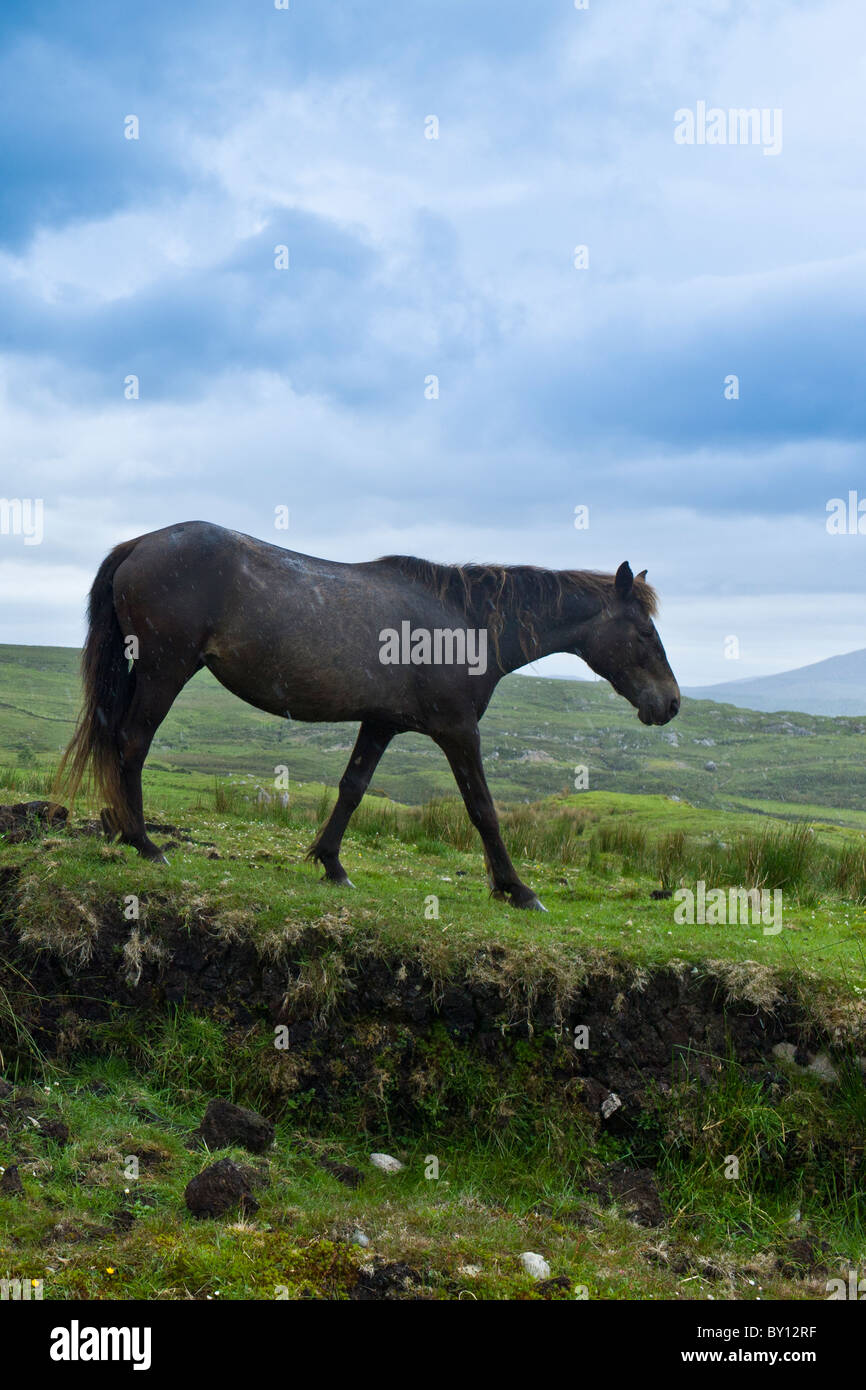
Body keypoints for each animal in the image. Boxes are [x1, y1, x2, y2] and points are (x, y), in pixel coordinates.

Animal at [57, 522, 681, 911]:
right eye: (644, 633)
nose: (671, 703)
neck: (466, 622)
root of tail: (139, 544)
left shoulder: (381, 723)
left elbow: (352, 789)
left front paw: (331, 864)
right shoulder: (458, 730)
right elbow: (483, 810)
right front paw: (517, 889)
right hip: (164, 669)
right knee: (132, 742)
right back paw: (143, 842)